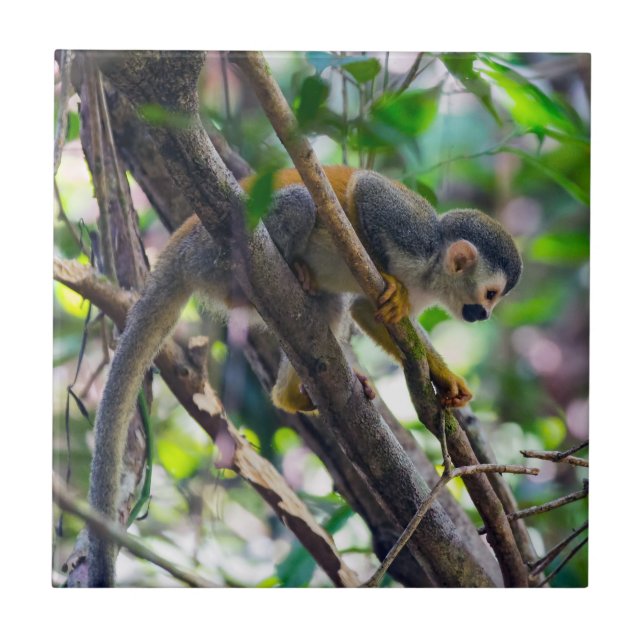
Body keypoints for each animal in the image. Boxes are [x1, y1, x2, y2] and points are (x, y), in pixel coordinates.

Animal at [85, 164, 522, 586]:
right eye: (490, 294)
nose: (485, 315)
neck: (430, 273)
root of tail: (177, 246)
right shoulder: (413, 232)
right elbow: (366, 191)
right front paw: (381, 267)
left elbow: (368, 311)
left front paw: (445, 378)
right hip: (212, 249)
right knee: (298, 202)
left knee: (325, 307)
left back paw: (292, 394)